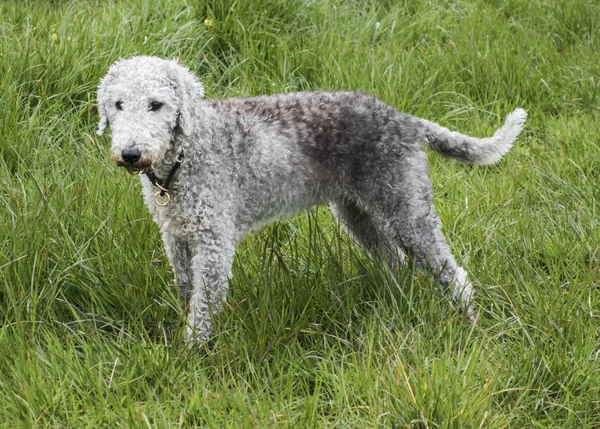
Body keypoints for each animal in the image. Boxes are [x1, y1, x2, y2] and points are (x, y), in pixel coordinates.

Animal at [97, 56, 524, 342]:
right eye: (118, 104)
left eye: (156, 104)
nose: (131, 154)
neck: (186, 151)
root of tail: (402, 119)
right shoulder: (177, 237)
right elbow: (188, 291)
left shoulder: (214, 241)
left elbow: (203, 304)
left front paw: (193, 351)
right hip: (357, 213)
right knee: (396, 260)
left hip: (406, 206)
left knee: (453, 272)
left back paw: (471, 320)